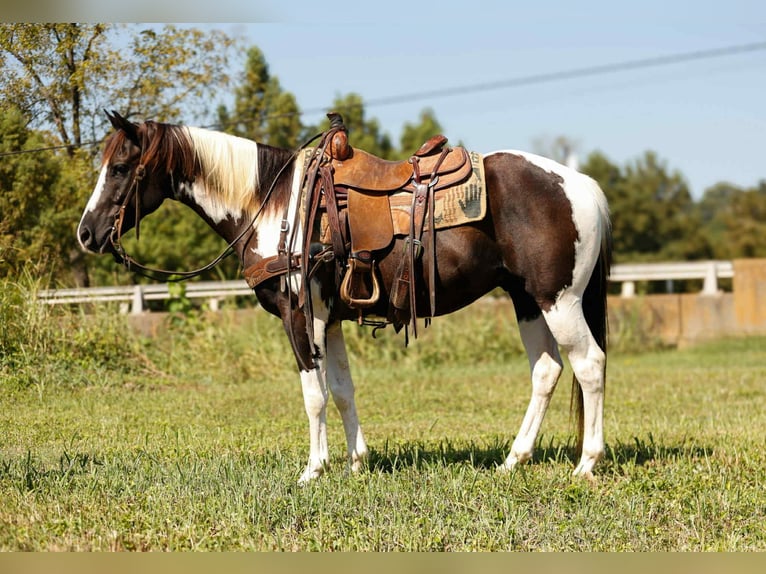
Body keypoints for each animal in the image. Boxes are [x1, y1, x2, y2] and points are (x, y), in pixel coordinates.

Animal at [77, 111, 612, 483]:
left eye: (120, 167)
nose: (86, 233)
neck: (274, 207)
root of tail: (582, 185)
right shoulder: (329, 319)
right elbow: (341, 390)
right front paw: (357, 461)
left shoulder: (299, 316)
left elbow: (313, 395)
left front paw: (313, 469)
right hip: (527, 300)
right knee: (547, 370)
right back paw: (513, 460)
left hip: (559, 300)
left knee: (589, 365)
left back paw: (586, 464)